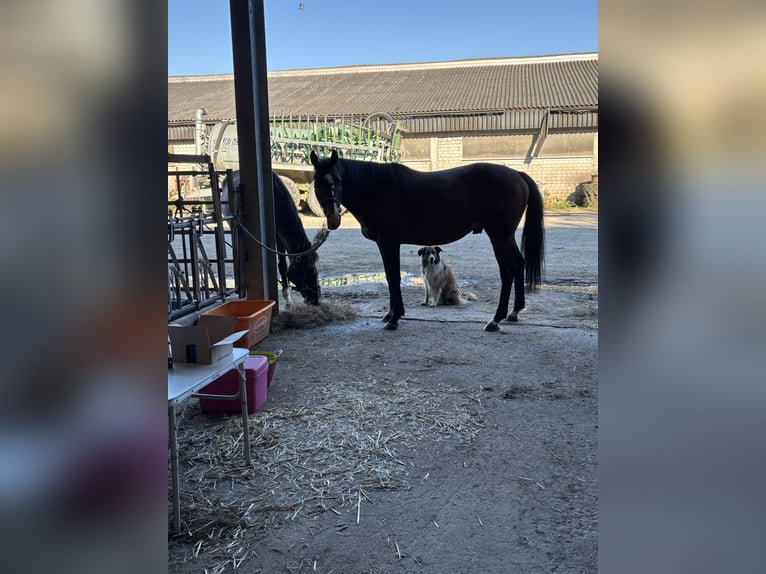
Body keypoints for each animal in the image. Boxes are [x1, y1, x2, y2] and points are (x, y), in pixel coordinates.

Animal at [222, 171, 321, 306]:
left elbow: (283, 265)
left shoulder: (279, 236)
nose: (316, 300)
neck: (277, 201)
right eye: (306, 271)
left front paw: (288, 299)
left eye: (315, 270)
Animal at [309, 149, 544, 331]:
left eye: (338, 181)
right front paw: (391, 314)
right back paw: (514, 312)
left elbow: (393, 277)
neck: (378, 189)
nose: (333, 219)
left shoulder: (389, 242)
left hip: (499, 236)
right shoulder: (384, 244)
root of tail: (516, 175)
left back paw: (495, 320)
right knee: (519, 264)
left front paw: (394, 318)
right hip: (506, 236)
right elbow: (389, 277)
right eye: (317, 184)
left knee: (507, 271)